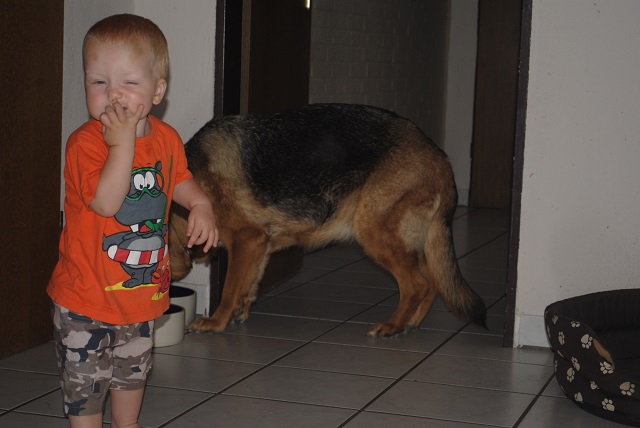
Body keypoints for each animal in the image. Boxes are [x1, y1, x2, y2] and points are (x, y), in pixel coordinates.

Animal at [169, 103, 486, 337]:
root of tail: (438, 155)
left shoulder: (246, 239)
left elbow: (230, 288)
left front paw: (216, 321)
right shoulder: (259, 246)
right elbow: (250, 283)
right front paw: (241, 311)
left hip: (373, 232)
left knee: (416, 284)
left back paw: (393, 325)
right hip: (412, 240)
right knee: (432, 282)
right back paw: (411, 322)